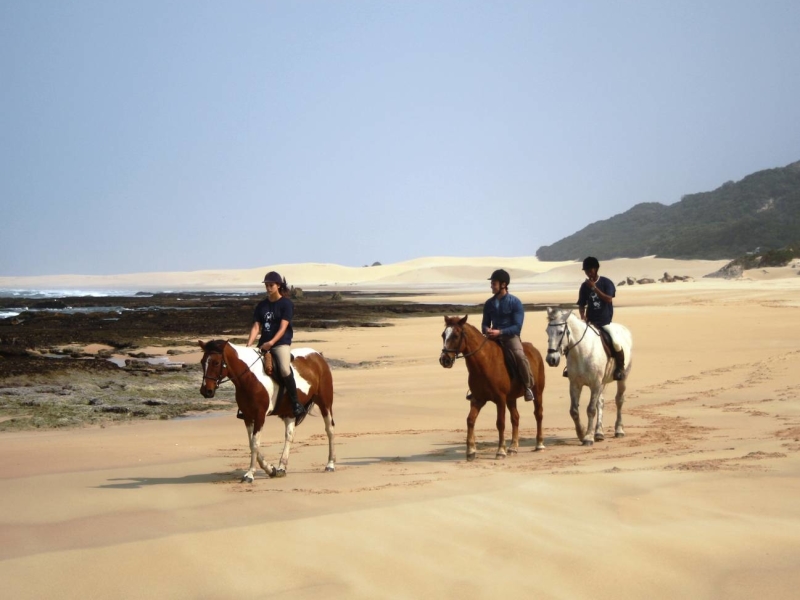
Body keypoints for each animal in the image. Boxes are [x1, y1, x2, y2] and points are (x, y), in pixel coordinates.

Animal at [202, 338, 340, 482]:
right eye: (202, 362)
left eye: (216, 363)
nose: (206, 391)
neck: (250, 377)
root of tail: (317, 355)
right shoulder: (247, 416)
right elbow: (252, 443)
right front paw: (270, 469)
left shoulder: (260, 415)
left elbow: (255, 443)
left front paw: (250, 474)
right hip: (290, 412)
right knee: (289, 435)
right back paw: (281, 468)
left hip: (324, 403)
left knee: (329, 429)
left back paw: (330, 464)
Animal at [440, 316, 548, 462]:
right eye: (443, 335)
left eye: (456, 336)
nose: (444, 360)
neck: (484, 363)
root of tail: (534, 349)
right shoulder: (478, 399)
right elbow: (470, 420)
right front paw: (471, 451)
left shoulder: (500, 399)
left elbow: (500, 423)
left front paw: (500, 451)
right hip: (511, 398)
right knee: (515, 418)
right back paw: (513, 447)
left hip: (537, 393)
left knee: (538, 414)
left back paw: (539, 444)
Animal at [544, 310, 632, 446]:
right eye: (547, 331)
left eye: (560, 332)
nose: (551, 359)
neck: (582, 351)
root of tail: (624, 329)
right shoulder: (575, 384)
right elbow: (574, 411)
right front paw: (581, 433)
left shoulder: (595, 384)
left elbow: (591, 409)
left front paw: (588, 437)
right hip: (602, 383)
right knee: (601, 403)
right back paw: (599, 433)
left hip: (622, 378)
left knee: (619, 400)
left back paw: (619, 430)